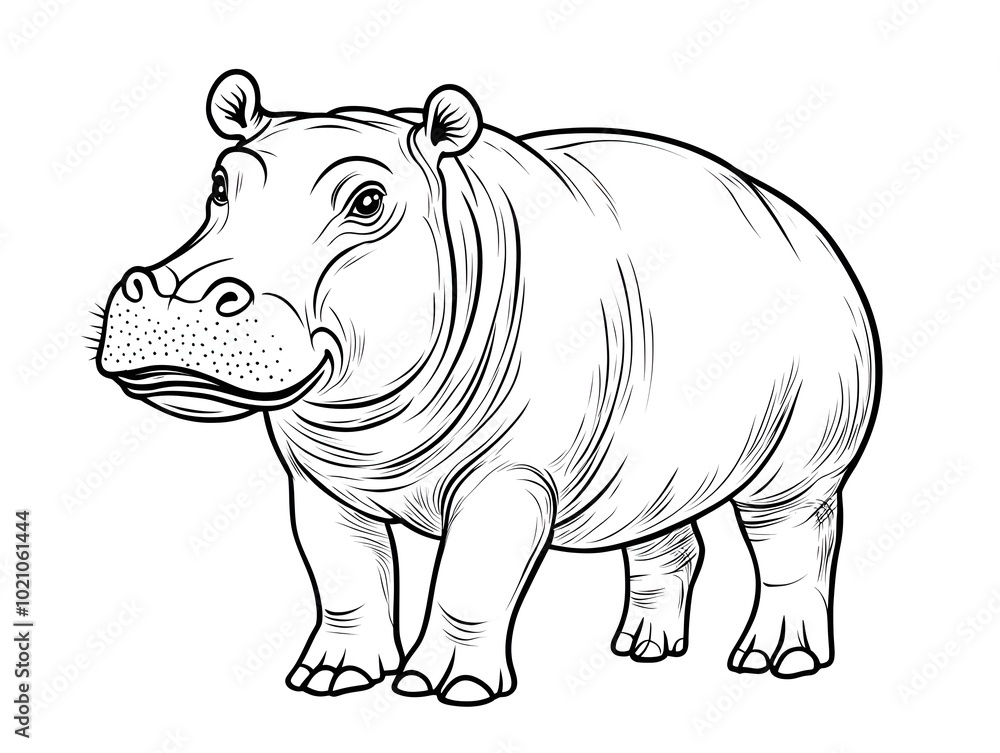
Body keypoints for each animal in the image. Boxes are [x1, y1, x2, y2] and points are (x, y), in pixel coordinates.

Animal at [96, 70, 880, 706]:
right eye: (220, 184)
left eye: (368, 201)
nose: (176, 293)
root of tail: (804, 222)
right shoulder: (320, 481)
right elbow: (345, 573)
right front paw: (331, 678)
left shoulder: (513, 476)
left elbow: (470, 579)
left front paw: (444, 688)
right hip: (659, 455)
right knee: (664, 535)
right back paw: (644, 649)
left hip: (806, 455)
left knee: (791, 537)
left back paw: (776, 661)